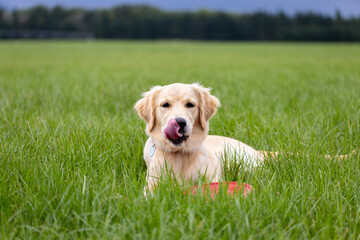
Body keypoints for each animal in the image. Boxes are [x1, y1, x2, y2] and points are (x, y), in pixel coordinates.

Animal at [134, 83, 354, 192]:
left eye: (191, 105)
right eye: (165, 105)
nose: (179, 122)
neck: (180, 156)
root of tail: (255, 151)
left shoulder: (213, 178)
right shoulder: (152, 184)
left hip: (244, 161)